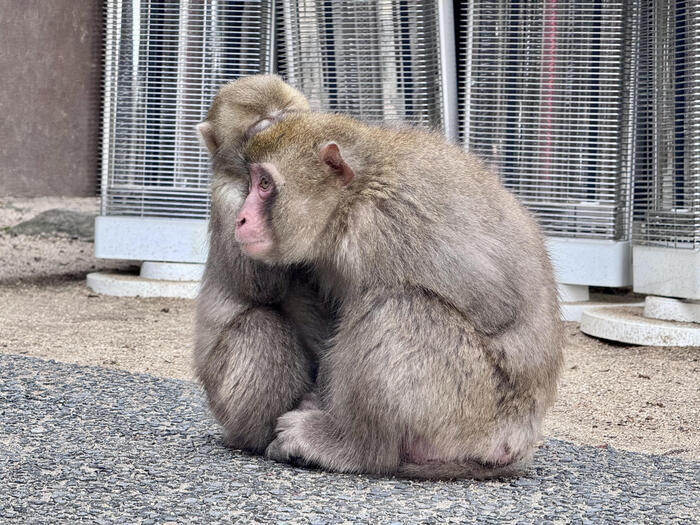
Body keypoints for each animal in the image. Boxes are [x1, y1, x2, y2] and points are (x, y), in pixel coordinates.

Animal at [191, 74, 334, 454]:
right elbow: (261, 288)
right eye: (261, 128)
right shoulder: (230, 200)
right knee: (260, 326)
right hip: (224, 398)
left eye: (288, 118)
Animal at [232, 111, 568, 478]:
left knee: (395, 306)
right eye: (253, 181)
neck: (354, 196)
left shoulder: (387, 224)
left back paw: (352, 447)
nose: (240, 218)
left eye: (265, 184)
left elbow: (498, 305)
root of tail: (519, 441)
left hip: (472, 415)